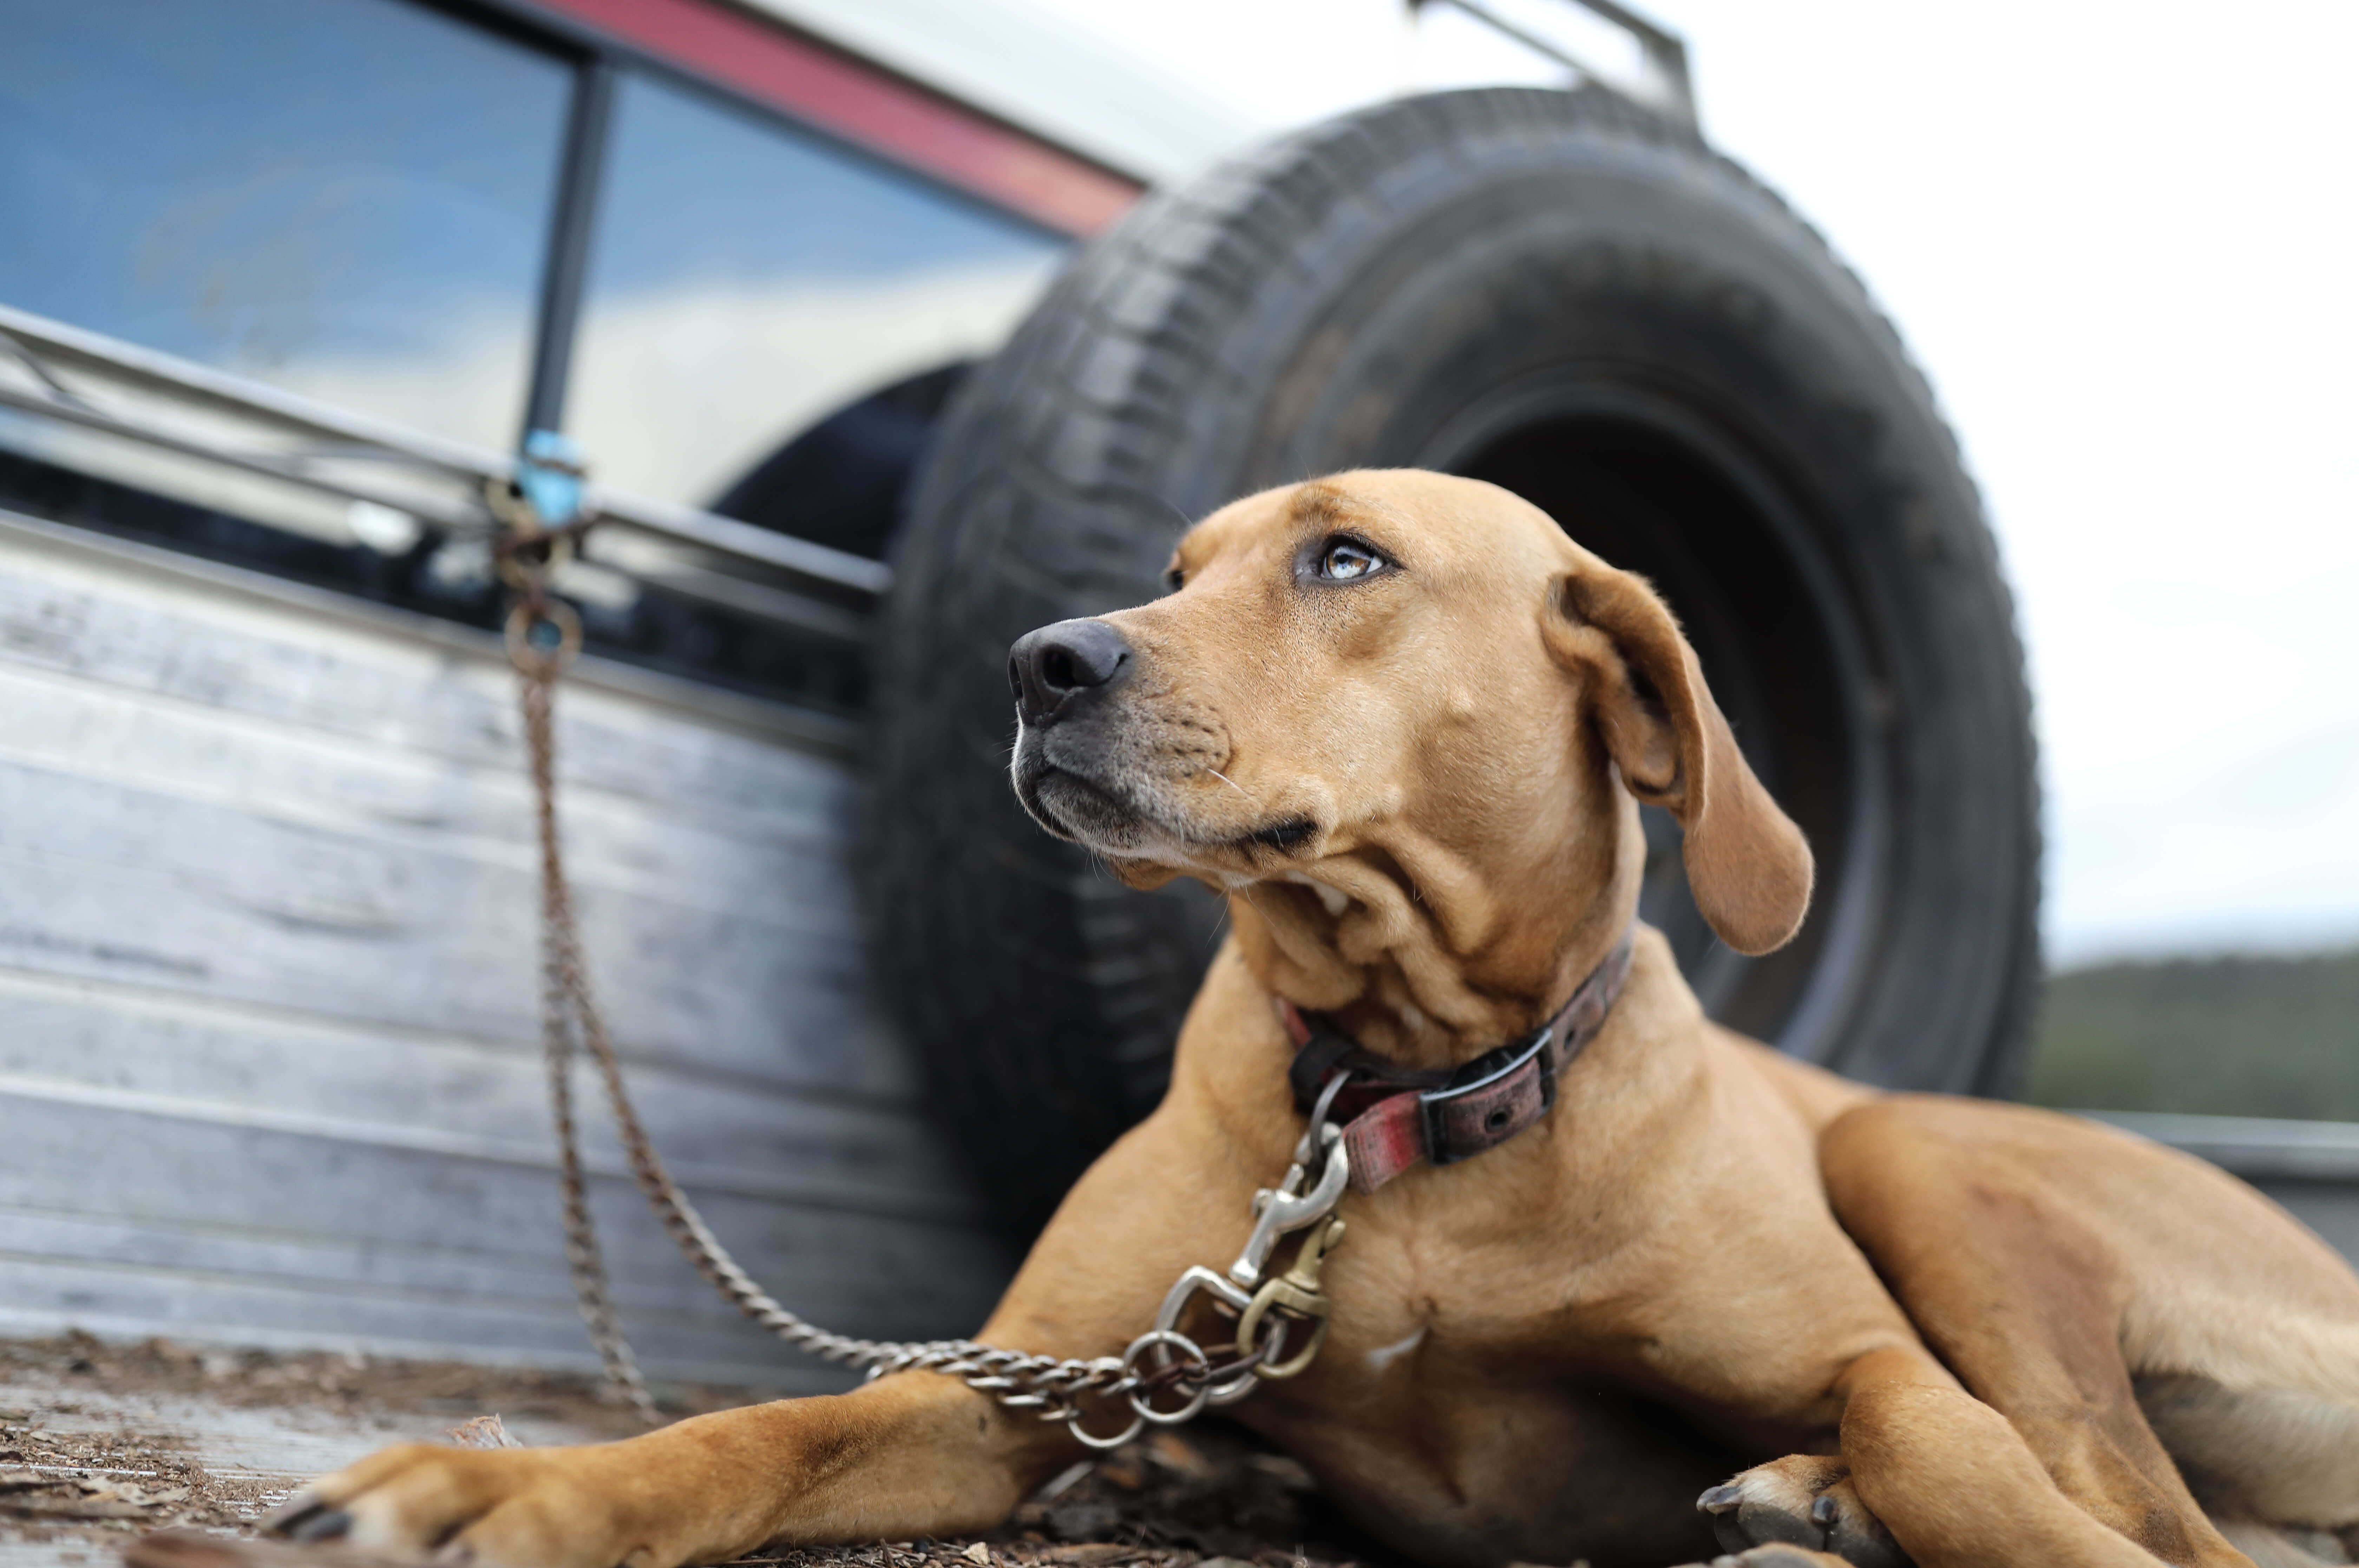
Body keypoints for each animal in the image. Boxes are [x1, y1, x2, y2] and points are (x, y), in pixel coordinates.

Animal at [271, 471, 2359, 1556]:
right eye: (1175, 568)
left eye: (1344, 556)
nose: (1035, 660)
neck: (1406, 1090)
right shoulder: (992, 1396)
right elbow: (750, 1437)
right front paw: (492, 1487)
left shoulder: (1856, 1349)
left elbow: (1948, 1442)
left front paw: (1930, 1501)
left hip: (1910, 1148)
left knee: (2161, 1514)